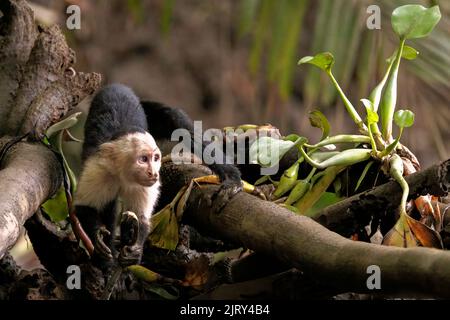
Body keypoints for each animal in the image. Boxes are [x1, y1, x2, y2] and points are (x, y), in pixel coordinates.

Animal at [75, 84, 241, 268]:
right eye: (143, 159)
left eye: (155, 158)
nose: (153, 172)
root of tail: (117, 85)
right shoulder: (98, 169)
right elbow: (84, 206)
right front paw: (100, 241)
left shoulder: (145, 184)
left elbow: (141, 216)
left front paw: (134, 249)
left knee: (177, 121)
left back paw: (231, 178)